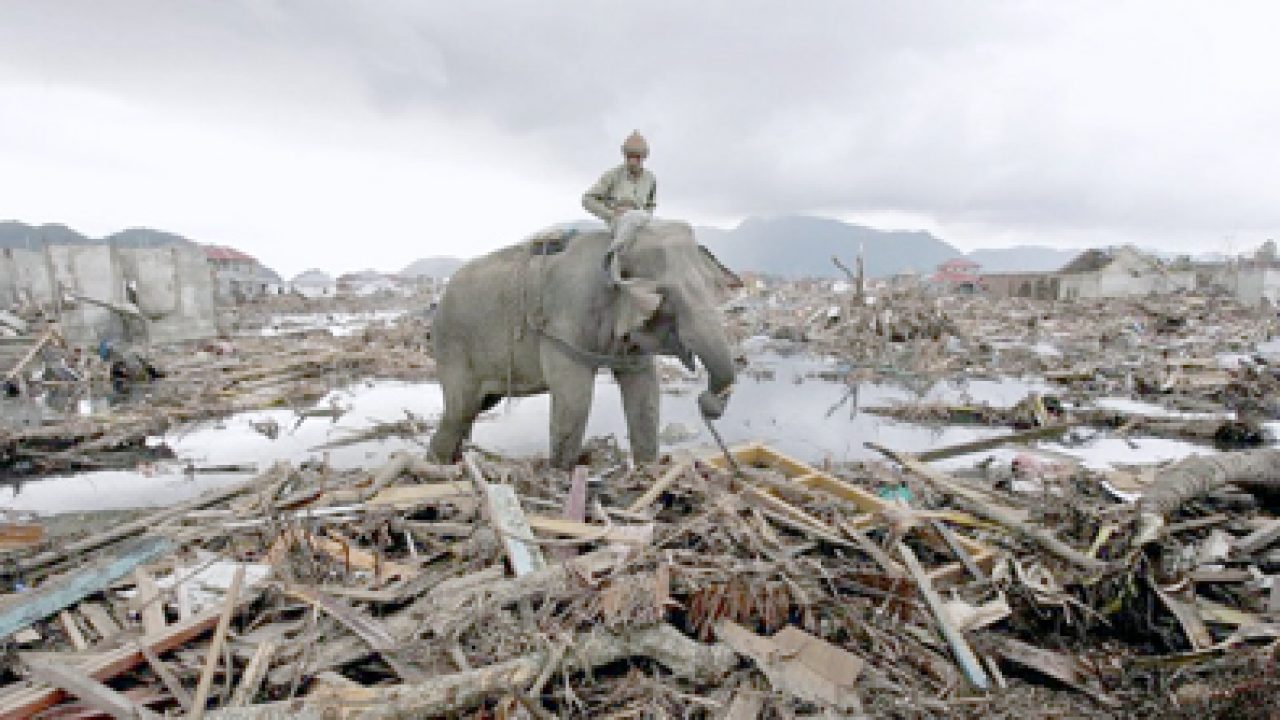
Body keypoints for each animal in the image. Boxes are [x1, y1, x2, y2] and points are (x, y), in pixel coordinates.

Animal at [428, 217, 738, 469]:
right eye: (666, 295)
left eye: (714, 286)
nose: (707, 402)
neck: (614, 246)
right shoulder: (565, 315)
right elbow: (574, 398)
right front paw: (561, 475)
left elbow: (645, 393)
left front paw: (648, 472)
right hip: (453, 345)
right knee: (460, 410)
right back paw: (439, 467)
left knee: (473, 410)